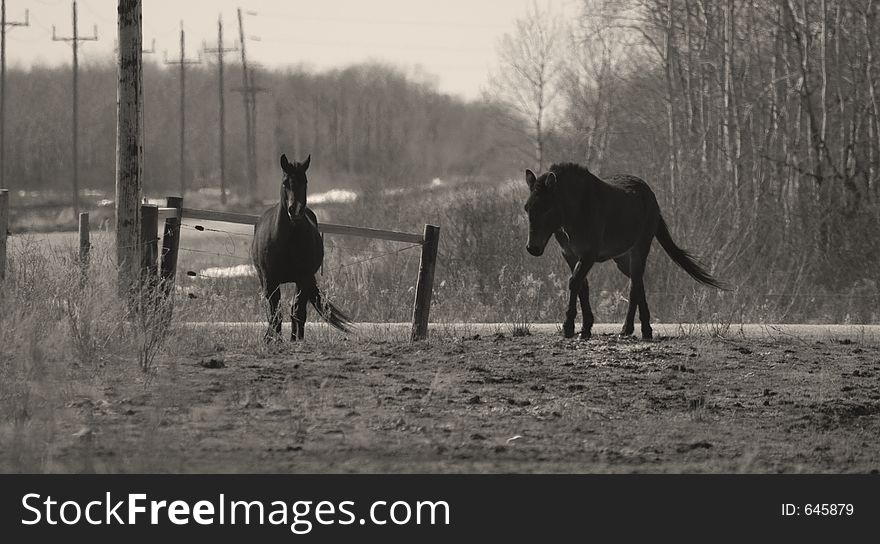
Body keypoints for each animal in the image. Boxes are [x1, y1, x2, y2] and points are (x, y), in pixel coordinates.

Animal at [249, 153, 352, 340]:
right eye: (285, 182)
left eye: (305, 181)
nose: (295, 209)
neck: (287, 240)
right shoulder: (270, 281)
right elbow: (275, 313)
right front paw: (275, 340)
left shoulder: (303, 278)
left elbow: (297, 312)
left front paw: (296, 340)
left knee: (296, 309)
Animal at [524, 162, 724, 340]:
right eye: (527, 208)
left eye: (547, 208)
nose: (532, 248)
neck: (577, 211)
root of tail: (651, 196)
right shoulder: (570, 255)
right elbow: (582, 286)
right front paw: (585, 328)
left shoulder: (588, 255)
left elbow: (574, 282)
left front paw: (569, 327)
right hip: (622, 258)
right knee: (638, 282)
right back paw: (643, 328)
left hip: (640, 248)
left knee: (634, 285)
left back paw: (630, 329)